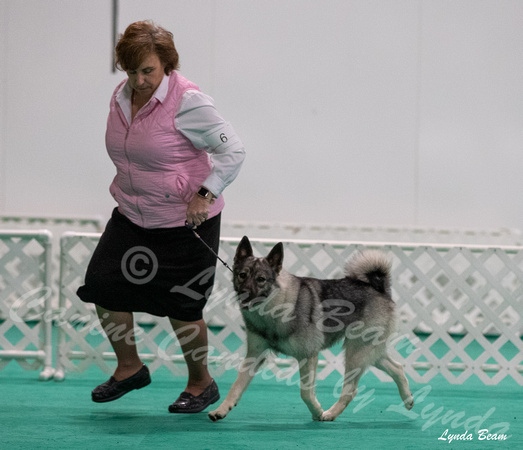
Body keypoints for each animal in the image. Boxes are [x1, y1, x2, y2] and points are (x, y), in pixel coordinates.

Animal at [209, 237, 414, 424]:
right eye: (242, 275)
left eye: (261, 279)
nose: (244, 293)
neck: (272, 311)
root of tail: (379, 288)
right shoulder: (254, 356)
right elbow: (236, 386)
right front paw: (221, 410)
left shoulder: (308, 356)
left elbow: (306, 393)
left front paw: (317, 412)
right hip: (368, 352)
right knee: (397, 368)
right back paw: (408, 400)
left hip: (356, 353)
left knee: (350, 390)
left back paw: (330, 414)